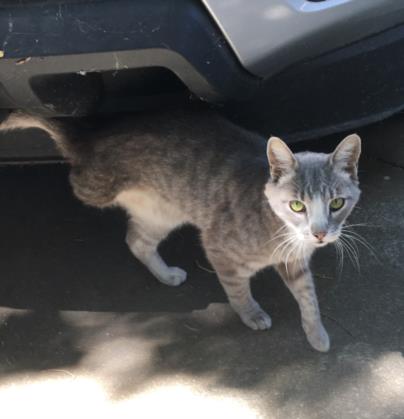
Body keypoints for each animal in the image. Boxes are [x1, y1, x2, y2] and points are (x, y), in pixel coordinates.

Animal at [0, 109, 360, 352]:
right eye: (297, 205)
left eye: (337, 203)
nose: (320, 233)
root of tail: (91, 139)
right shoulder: (218, 249)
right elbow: (238, 291)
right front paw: (251, 314)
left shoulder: (295, 263)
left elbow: (308, 297)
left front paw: (316, 333)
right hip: (94, 188)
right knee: (74, 173)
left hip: (161, 213)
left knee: (136, 240)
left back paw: (166, 274)